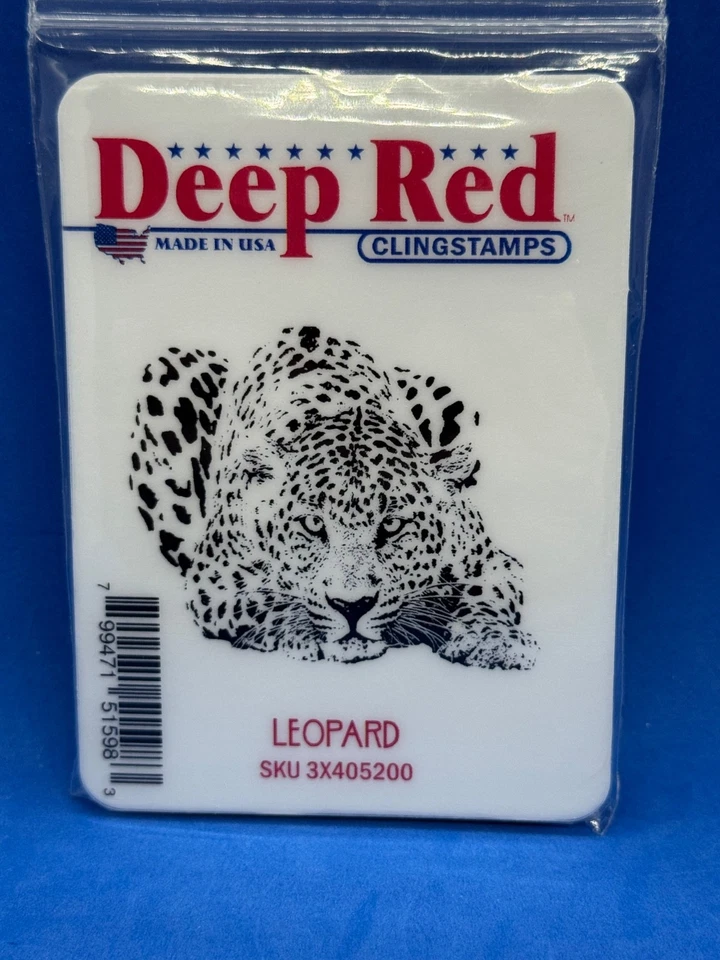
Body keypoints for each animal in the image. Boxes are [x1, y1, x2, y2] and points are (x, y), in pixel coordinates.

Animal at [129, 325, 536, 668]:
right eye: (312, 524)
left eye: (392, 526)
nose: (351, 607)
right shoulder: (214, 582)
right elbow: (263, 601)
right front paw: (300, 632)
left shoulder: (492, 562)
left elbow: (486, 596)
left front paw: (493, 639)